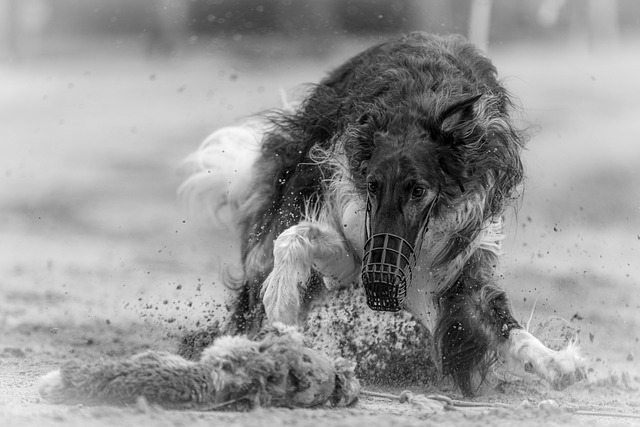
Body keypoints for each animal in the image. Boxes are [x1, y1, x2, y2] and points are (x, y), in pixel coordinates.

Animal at [179, 31, 584, 396]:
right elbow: (295, 241)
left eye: (418, 190)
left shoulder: (453, 268)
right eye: (373, 185)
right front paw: (281, 308)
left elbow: (502, 323)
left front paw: (560, 366)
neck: (418, 104)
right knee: (258, 278)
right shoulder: (353, 236)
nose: (381, 283)